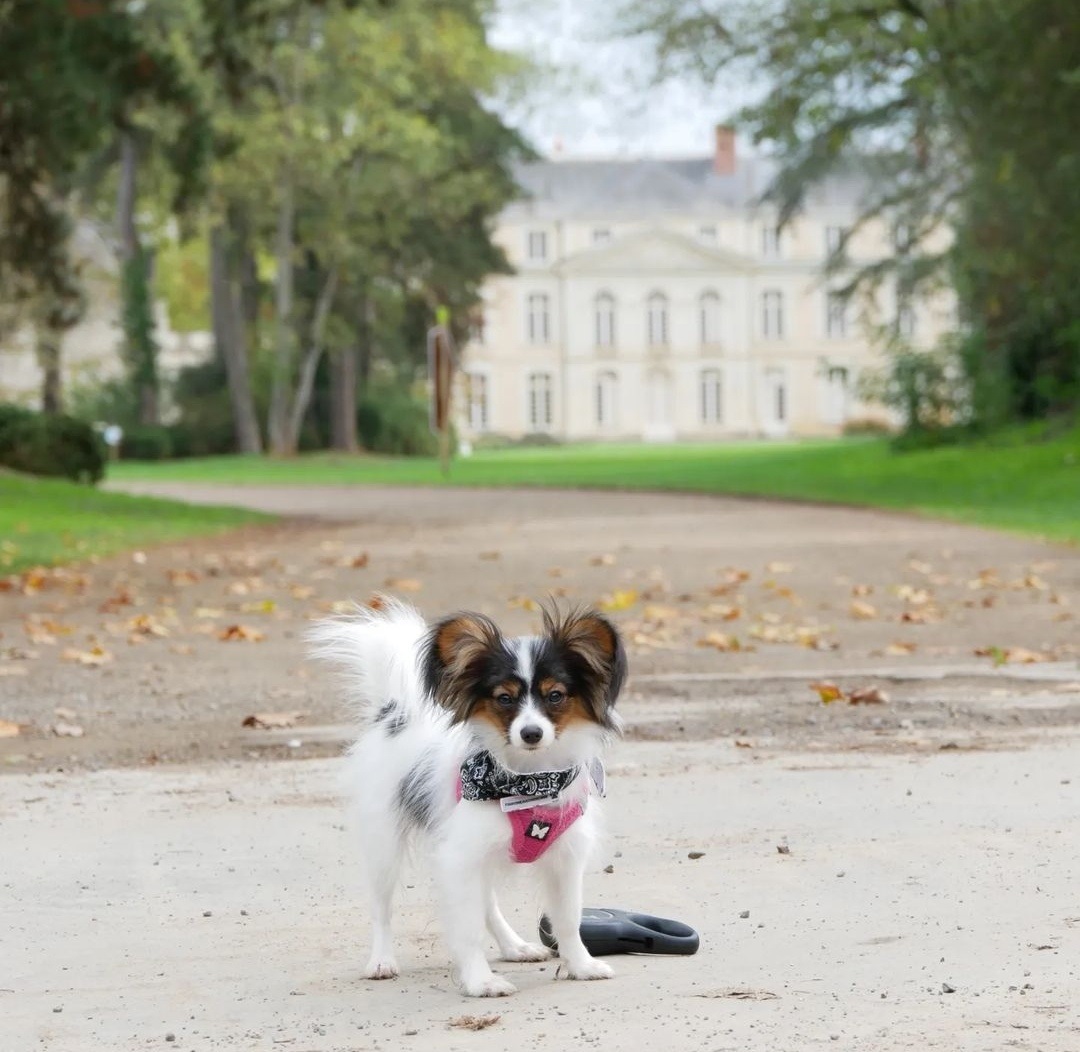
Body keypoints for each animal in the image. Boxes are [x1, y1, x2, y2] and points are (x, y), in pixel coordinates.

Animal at [308, 600, 630, 997]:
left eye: (555, 696)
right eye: (504, 699)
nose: (531, 733)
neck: (528, 779)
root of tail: (395, 714)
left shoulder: (564, 858)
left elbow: (568, 918)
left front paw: (581, 966)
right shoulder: (460, 858)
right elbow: (468, 928)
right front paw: (481, 982)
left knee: (487, 904)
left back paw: (514, 946)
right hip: (384, 842)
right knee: (382, 907)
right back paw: (381, 961)